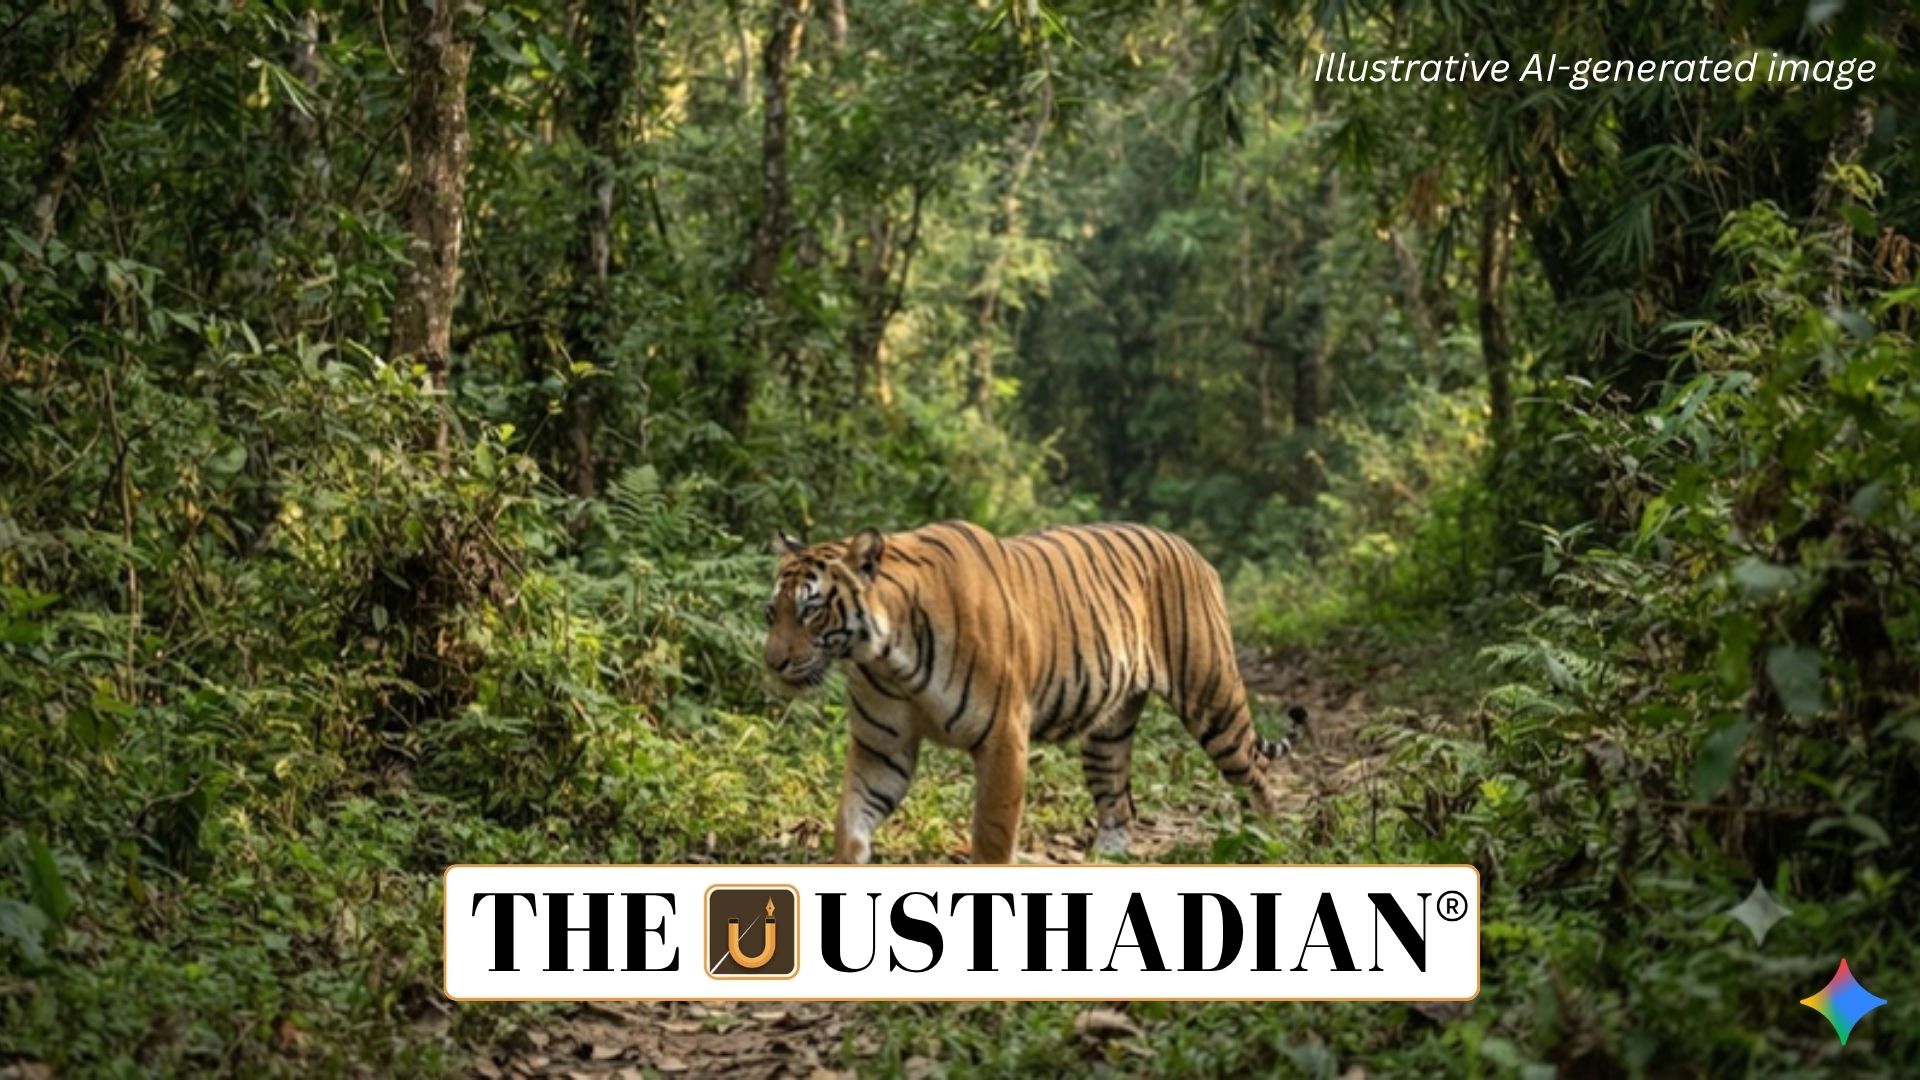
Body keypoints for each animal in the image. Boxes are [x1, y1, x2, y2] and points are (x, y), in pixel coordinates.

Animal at [761, 520, 1297, 864]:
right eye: (773, 612)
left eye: (811, 611)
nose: (772, 662)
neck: (887, 657)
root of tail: (1192, 550)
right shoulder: (881, 748)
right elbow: (851, 821)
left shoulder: (1002, 738)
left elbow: (992, 835)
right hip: (1107, 732)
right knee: (1119, 803)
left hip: (1213, 698)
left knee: (1257, 774)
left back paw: (1266, 842)